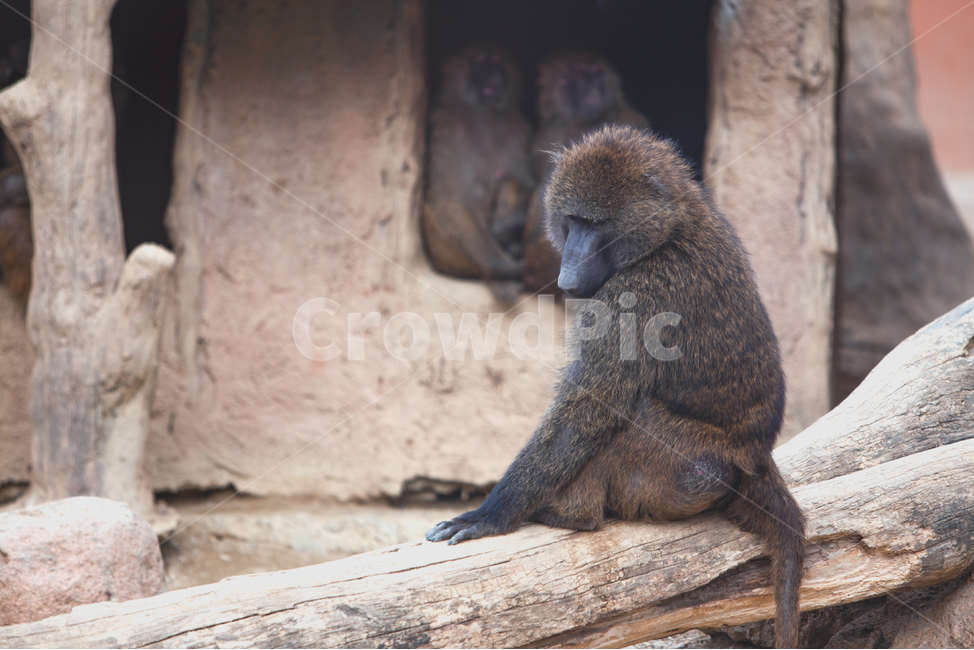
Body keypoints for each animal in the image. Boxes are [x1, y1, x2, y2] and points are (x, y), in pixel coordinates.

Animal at [421, 43, 535, 301]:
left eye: (499, 59)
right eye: (480, 59)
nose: (495, 78)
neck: (485, 115)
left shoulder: (517, 128)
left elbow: (532, 187)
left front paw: (502, 234)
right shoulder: (448, 130)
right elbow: (452, 201)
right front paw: (506, 267)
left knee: (509, 181)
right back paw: (499, 277)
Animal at [427, 125, 805, 649]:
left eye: (596, 224)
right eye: (572, 222)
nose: (567, 272)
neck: (671, 229)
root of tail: (755, 454)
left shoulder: (637, 295)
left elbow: (587, 410)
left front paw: (489, 515)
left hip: (687, 465)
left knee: (630, 418)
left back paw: (571, 514)